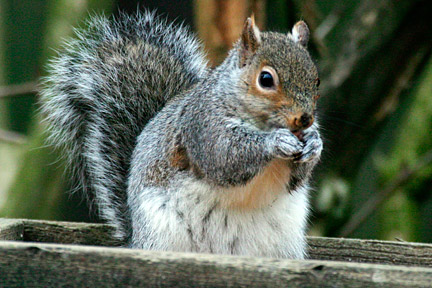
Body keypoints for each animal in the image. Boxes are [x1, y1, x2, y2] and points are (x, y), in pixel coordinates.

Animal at [40, 11, 322, 258]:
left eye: (316, 80)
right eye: (265, 79)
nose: (305, 118)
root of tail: (136, 239)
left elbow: (296, 177)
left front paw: (313, 143)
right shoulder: (202, 127)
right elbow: (225, 157)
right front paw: (276, 141)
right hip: (163, 234)